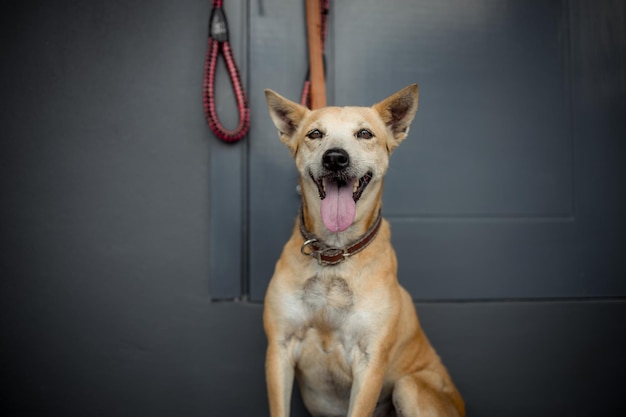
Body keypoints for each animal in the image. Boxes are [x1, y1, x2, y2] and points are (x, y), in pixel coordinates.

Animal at [260, 84, 460, 416]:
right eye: (315, 134)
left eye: (365, 134)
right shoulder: (279, 348)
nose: (335, 158)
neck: (335, 253)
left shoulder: (370, 360)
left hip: (408, 387)